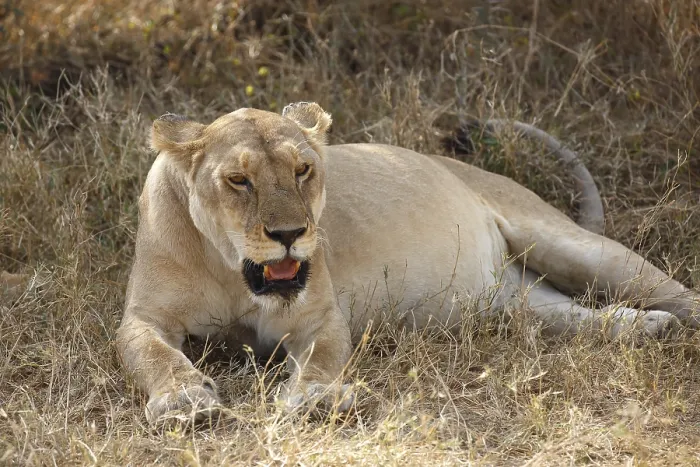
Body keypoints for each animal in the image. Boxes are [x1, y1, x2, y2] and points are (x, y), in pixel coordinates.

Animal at [116, 102, 700, 425]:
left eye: (303, 169)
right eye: (239, 180)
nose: (288, 236)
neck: (232, 271)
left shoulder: (320, 317)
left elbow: (322, 360)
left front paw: (317, 399)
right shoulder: (144, 317)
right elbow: (153, 355)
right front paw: (185, 401)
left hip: (569, 244)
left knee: (677, 294)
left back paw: (665, 323)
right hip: (515, 306)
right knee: (574, 316)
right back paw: (644, 328)